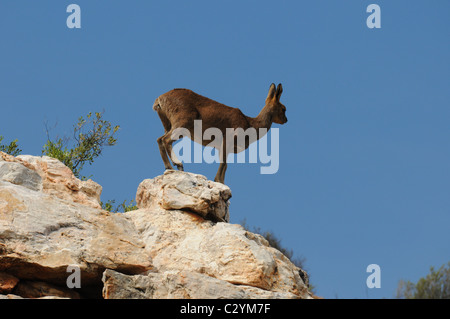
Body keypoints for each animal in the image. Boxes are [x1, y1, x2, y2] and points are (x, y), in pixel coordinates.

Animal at [153, 84, 286, 184]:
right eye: (284, 108)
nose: (286, 120)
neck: (250, 124)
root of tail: (159, 101)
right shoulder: (228, 138)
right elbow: (223, 164)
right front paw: (219, 182)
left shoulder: (221, 147)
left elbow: (225, 165)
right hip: (183, 121)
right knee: (165, 139)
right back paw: (177, 164)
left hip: (168, 124)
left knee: (160, 139)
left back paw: (170, 167)